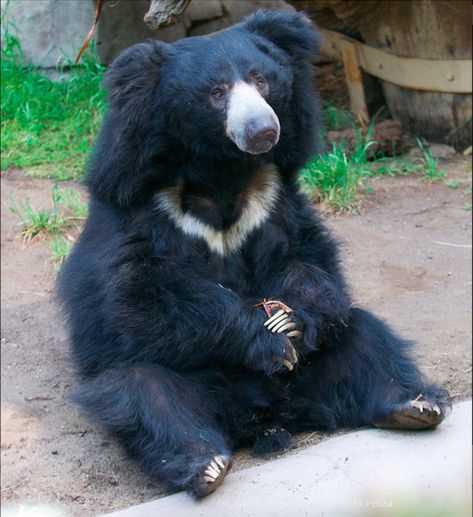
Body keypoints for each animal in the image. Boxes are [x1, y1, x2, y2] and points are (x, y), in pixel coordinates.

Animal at [59, 11, 450, 496]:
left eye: (262, 80)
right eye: (216, 92)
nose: (264, 129)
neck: (222, 172)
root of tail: (267, 417)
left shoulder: (272, 197)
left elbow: (303, 258)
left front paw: (291, 321)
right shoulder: (142, 206)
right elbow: (141, 295)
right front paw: (267, 338)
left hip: (320, 366)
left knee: (364, 336)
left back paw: (414, 405)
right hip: (176, 383)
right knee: (145, 393)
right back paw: (206, 464)